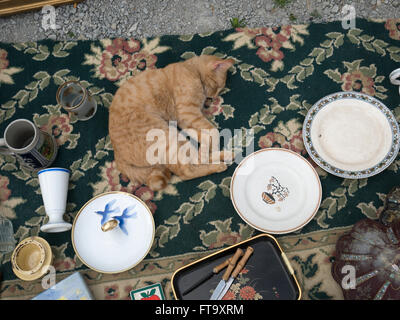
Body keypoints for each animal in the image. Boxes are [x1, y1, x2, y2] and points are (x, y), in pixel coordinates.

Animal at [108, 54, 234, 192]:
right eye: (216, 86)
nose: (213, 97)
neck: (191, 70)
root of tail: (117, 156)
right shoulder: (188, 112)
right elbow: (213, 131)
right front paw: (210, 147)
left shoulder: (185, 119)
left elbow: (203, 135)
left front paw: (205, 147)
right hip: (168, 138)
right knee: (186, 171)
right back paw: (218, 164)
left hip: (176, 139)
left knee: (193, 159)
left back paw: (224, 155)